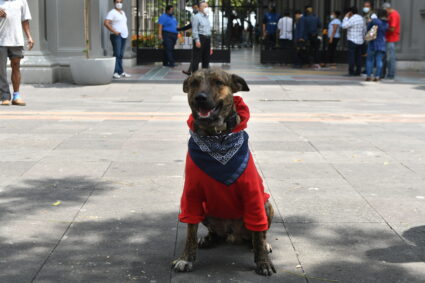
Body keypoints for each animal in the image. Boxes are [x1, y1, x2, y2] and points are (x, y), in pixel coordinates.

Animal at [171, 69, 274, 278]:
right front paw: (185, 258)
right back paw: (209, 239)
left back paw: (262, 244)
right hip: (206, 209)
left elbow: (258, 233)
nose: (200, 98)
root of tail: (234, 235)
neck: (216, 136)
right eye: (194, 83)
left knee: (259, 233)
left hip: (266, 204)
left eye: (218, 82)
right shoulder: (191, 194)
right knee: (217, 233)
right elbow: (190, 232)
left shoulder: (253, 195)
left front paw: (263, 262)